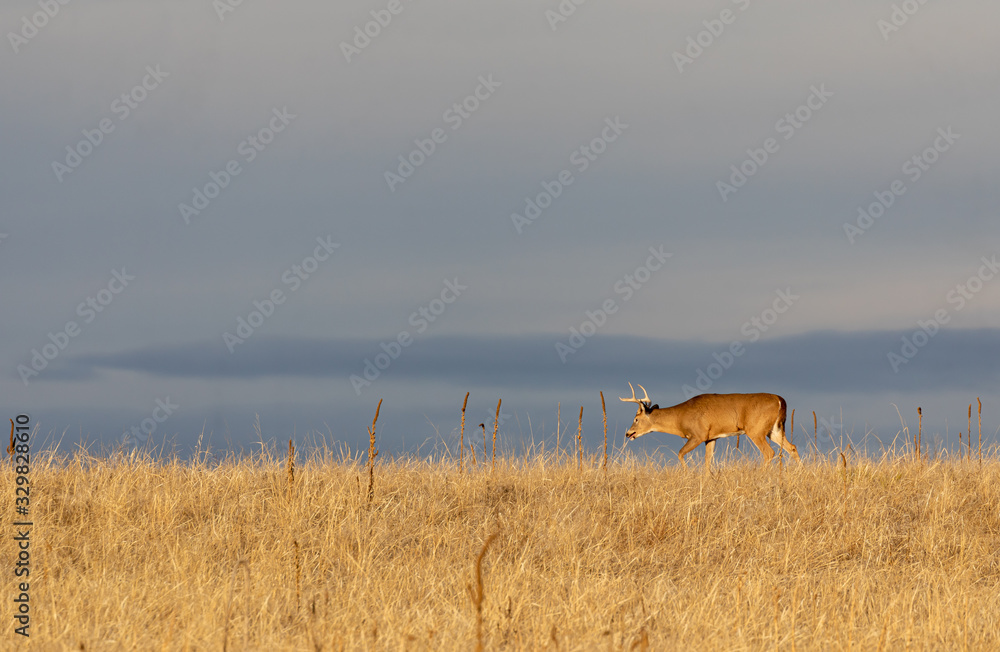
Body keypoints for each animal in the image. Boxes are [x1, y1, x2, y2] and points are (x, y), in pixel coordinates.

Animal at [619, 383, 799, 468]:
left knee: (769, 452)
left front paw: (688, 474)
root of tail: (780, 400)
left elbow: (680, 453)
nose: (628, 433)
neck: (680, 418)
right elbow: (707, 461)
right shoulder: (711, 437)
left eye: (636, 418)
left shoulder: (698, 435)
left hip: (756, 430)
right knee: (792, 447)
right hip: (774, 429)